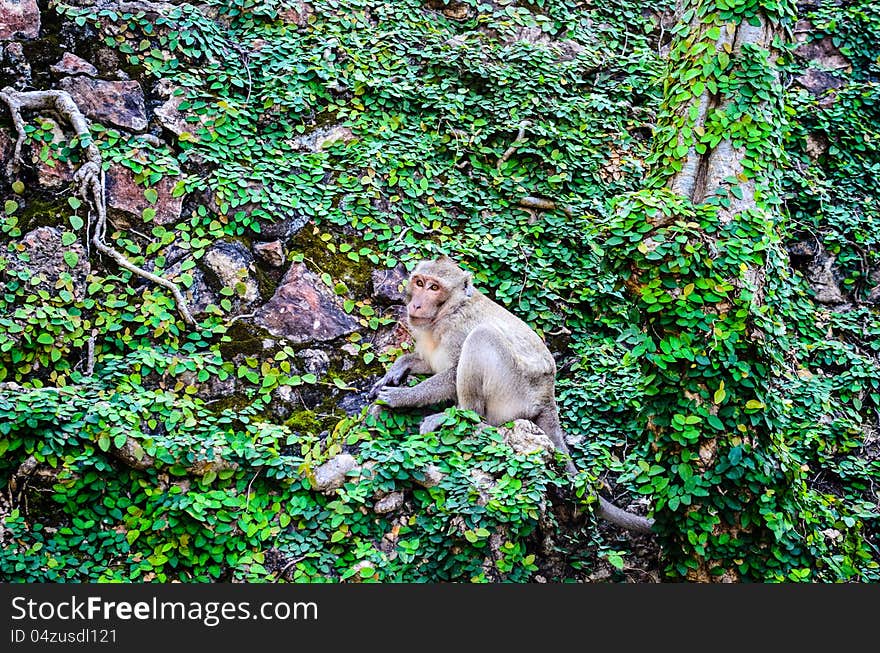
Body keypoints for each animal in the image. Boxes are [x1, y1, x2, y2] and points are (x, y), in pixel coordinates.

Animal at [366, 258, 652, 532]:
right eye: (419, 282)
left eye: (434, 288)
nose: (415, 305)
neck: (448, 312)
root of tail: (547, 395)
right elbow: (427, 362)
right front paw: (398, 367)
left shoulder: (459, 330)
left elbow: (452, 373)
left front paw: (403, 397)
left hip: (515, 389)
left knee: (482, 338)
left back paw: (460, 416)